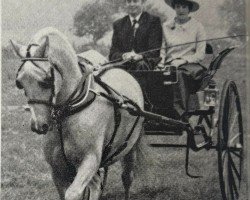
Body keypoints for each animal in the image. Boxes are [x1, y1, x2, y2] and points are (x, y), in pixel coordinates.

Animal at [10, 27, 145, 200]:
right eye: (20, 83)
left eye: (45, 80)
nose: (38, 125)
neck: (69, 113)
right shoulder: (58, 171)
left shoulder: (89, 161)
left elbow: (74, 193)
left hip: (130, 149)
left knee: (127, 177)